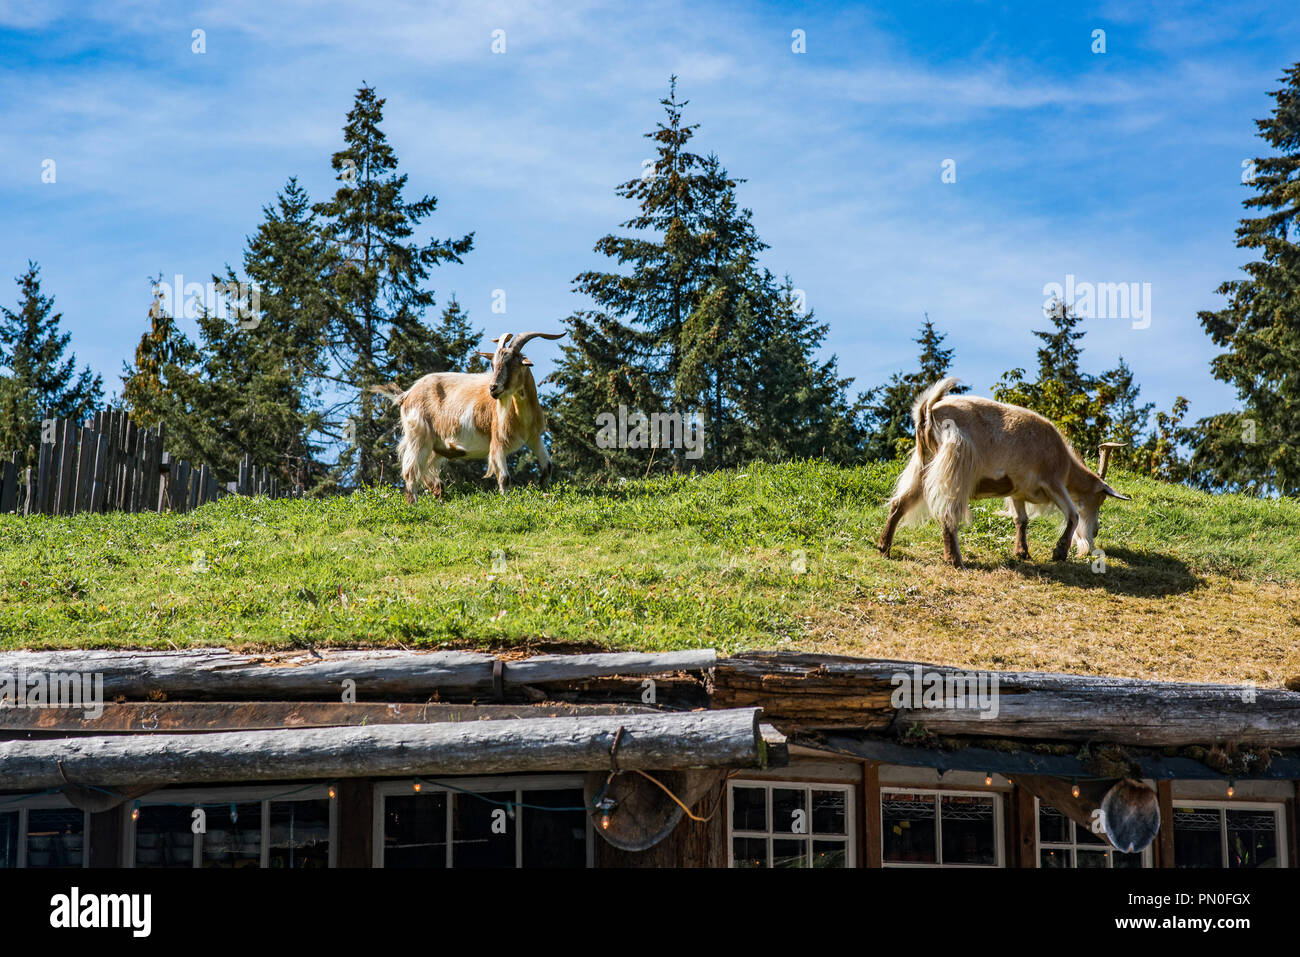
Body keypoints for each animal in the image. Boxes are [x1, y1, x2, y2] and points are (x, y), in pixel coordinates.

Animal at [371, 330, 566, 499]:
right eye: (493, 364)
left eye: (513, 363)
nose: (493, 388)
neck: (521, 416)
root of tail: (407, 394)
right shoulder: (497, 442)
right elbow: (504, 478)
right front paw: (506, 501)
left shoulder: (534, 437)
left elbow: (547, 467)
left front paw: (545, 490)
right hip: (418, 436)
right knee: (411, 472)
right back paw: (414, 504)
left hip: (435, 445)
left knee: (428, 474)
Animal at [876, 377, 1130, 568]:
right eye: (1099, 499)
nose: (1095, 530)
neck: (1065, 464)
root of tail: (928, 411)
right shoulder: (1053, 482)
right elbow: (1073, 515)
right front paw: (1059, 552)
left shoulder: (1017, 490)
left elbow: (1021, 519)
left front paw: (1022, 552)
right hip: (956, 466)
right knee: (948, 513)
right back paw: (955, 560)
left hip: (924, 465)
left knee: (899, 502)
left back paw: (884, 548)